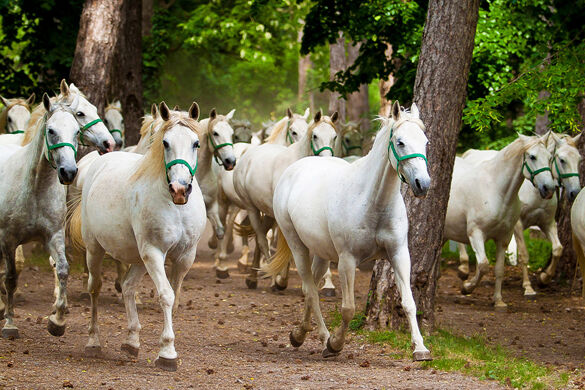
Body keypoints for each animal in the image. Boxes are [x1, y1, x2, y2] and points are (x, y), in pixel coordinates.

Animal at [0, 93, 81, 338]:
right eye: (51, 130)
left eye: (77, 131)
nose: (69, 172)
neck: (35, 187)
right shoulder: (8, 240)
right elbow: (11, 278)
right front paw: (10, 323)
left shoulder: (54, 236)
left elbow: (62, 270)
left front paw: (57, 320)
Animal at [68, 103, 206, 372]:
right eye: (165, 142)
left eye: (195, 143)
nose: (180, 189)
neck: (175, 207)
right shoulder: (154, 252)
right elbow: (166, 295)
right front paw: (167, 352)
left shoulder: (185, 257)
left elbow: (175, 297)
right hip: (96, 249)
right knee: (95, 289)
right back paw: (94, 342)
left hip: (139, 259)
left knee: (129, 288)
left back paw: (131, 341)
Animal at [264, 103, 428, 360]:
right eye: (400, 142)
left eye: (425, 141)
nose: (423, 184)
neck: (373, 202)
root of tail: (292, 171)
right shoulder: (347, 260)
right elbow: (348, 309)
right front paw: (336, 343)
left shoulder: (399, 254)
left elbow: (409, 302)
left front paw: (420, 348)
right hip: (297, 246)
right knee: (310, 291)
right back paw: (321, 339)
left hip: (321, 253)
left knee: (311, 288)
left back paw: (301, 334)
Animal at [444, 133, 556, 310]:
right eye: (532, 156)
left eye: (550, 157)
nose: (549, 189)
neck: (497, 190)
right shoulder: (476, 234)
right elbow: (483, 265)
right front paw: (466, 287)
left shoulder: (504, 238)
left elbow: (499, 270)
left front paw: (498, 301)